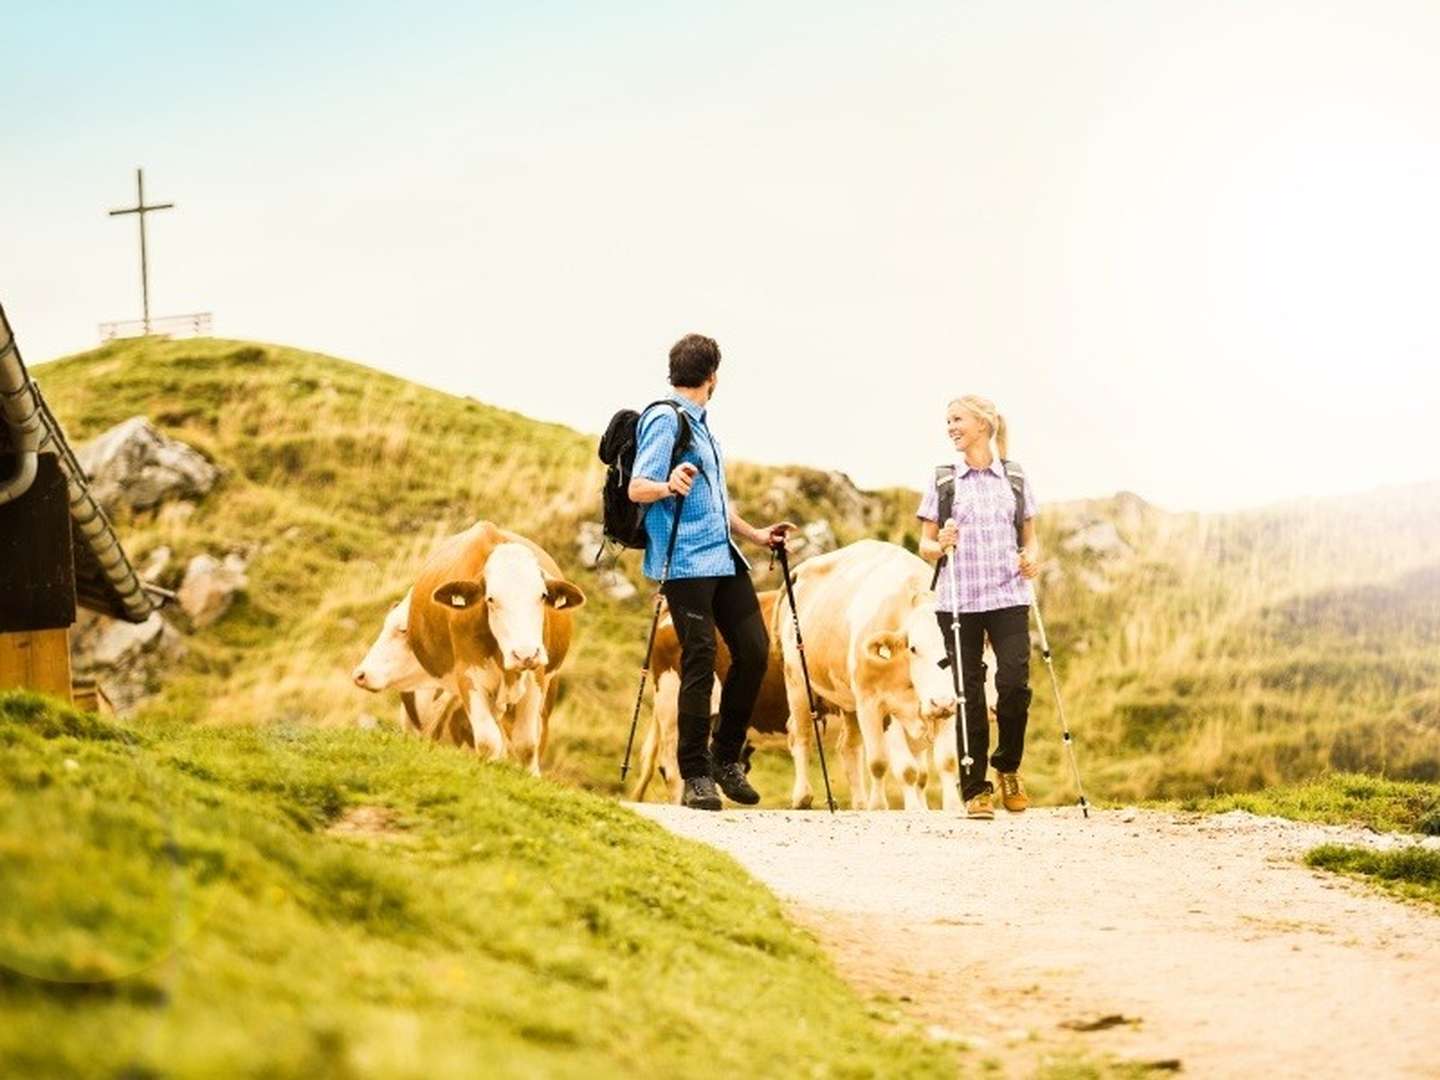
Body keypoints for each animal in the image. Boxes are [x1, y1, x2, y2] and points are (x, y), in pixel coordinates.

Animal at [406, 527, 584, 771]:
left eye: (543, 595)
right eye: (490, 599)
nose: (525, 654)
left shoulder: (536, 678)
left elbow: (527, 745)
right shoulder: (469, 677)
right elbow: (488, 741)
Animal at [777, 541, 956, 812]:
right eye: (914, 648)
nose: (941, 702)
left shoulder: (949, 705)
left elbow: (946, 761)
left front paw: (954, 807)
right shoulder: (873, 704)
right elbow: (887, 765)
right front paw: (884, 807)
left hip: (848, 703)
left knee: (849, 747)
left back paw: (860, 804)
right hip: (798, 684)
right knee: (801, 736)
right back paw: (802, 796)